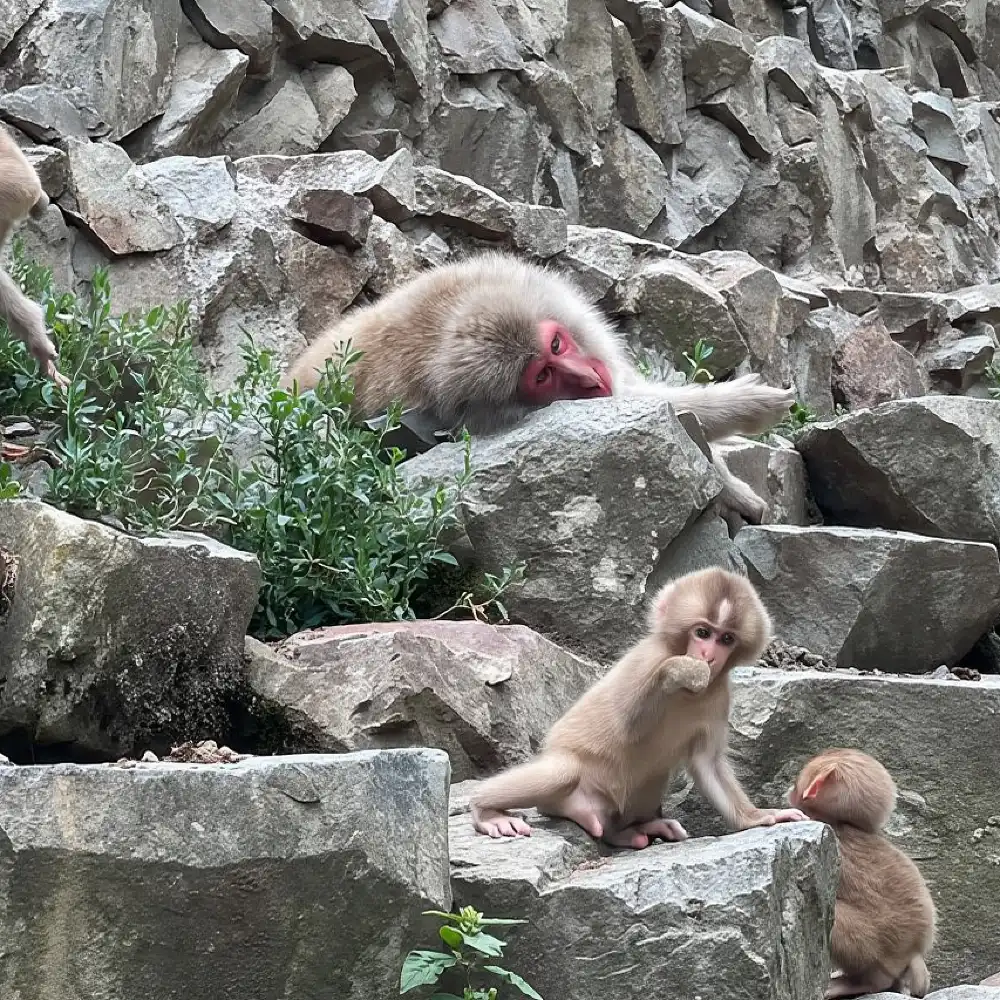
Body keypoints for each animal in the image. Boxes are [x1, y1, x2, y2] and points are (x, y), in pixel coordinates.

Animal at [469, 566, 808, 847]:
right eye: (702, 633)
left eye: (726, 638)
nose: (708, 656)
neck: (690, 693)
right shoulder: (646, 660)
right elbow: (627, 724)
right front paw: (675, 671)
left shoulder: (719, 696)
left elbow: (707, 763)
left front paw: (759, 816)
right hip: (563, 792)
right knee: (562, 774)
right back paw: (485, 810)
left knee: (650, 778)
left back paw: (627, 832)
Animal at [788, 749, 936, 999]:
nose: (791, 789)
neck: (843, 823)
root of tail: (911, 955)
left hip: (875, 951)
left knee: (831, 914)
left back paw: (861, 983)